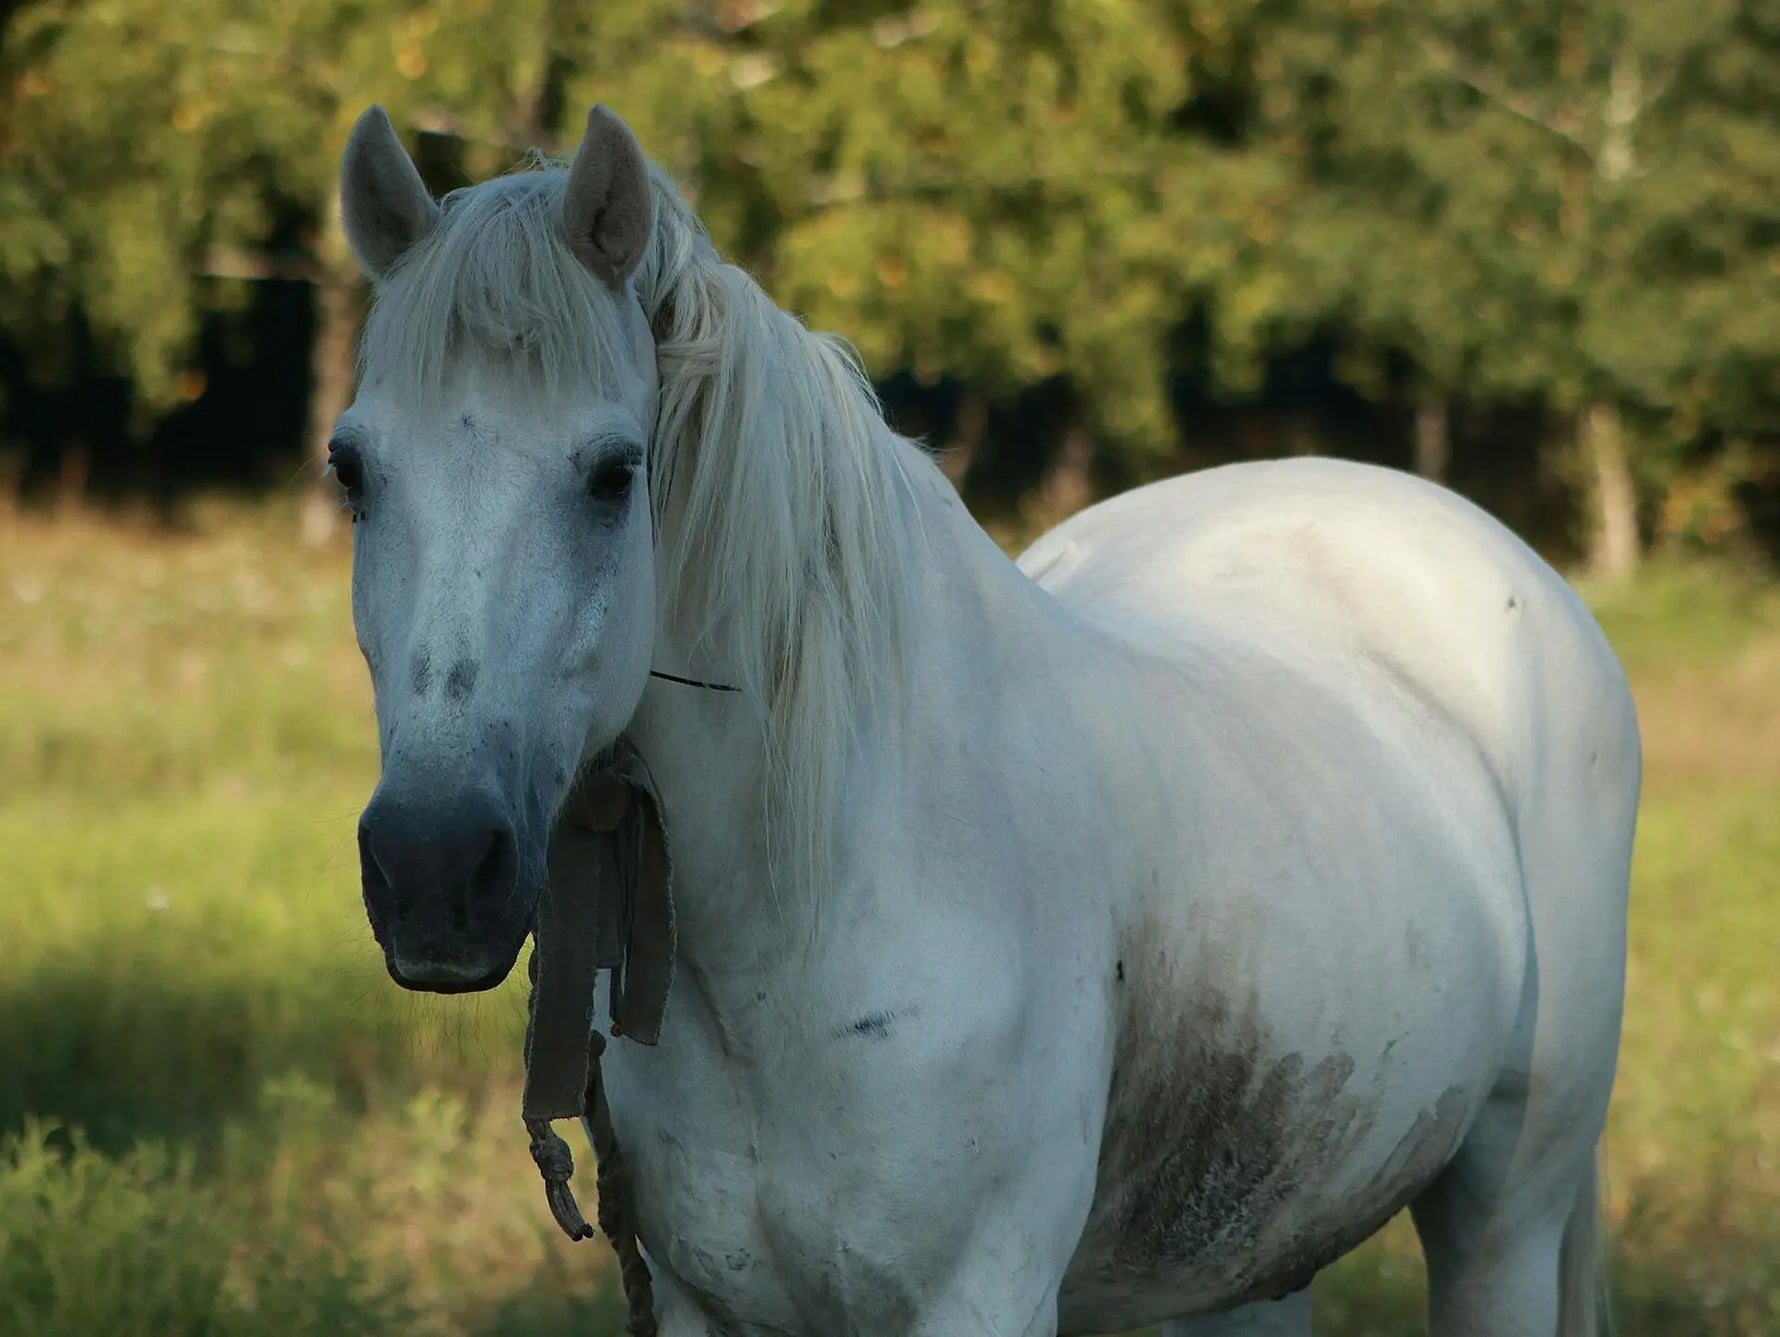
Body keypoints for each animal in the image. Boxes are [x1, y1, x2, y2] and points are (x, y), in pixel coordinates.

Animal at [335, 101, 1639, 1337]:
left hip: (1503, 1219)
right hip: (1251, 1244)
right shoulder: (708, 1301)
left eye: (613, 472)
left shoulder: (983, 1293)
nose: (432, 868)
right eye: (351, 470)